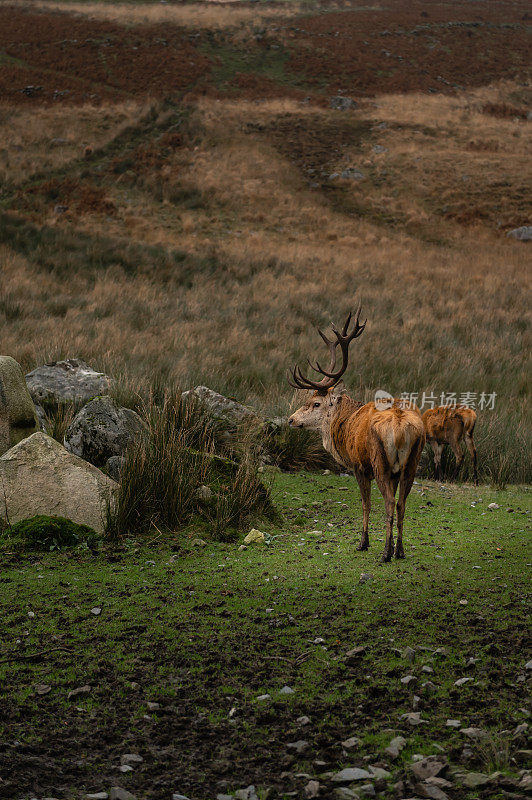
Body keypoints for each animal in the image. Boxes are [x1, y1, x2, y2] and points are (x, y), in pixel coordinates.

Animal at [288, 308, 426, 564]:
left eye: (316, 403)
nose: (291, 419)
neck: (344, 425)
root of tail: (402, 425)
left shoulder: (358, 465)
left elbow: (365, 504)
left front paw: (363, 542)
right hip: (412, 462)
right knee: (402, 503)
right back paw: (400, 551)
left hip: (380, 462)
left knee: (389, 502)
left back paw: (385, 553)